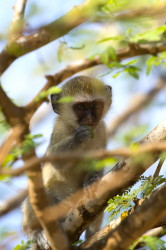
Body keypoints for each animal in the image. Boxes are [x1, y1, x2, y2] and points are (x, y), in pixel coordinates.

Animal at [22, 75, 112, 249]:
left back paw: (92, 235)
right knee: (36, 197)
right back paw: (35, 232)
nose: (90, 119)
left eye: (96, 106)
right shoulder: (60, 129)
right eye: (81, 107)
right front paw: (79, 137)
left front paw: (92, 180)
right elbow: (54, 162)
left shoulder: (101, 130)